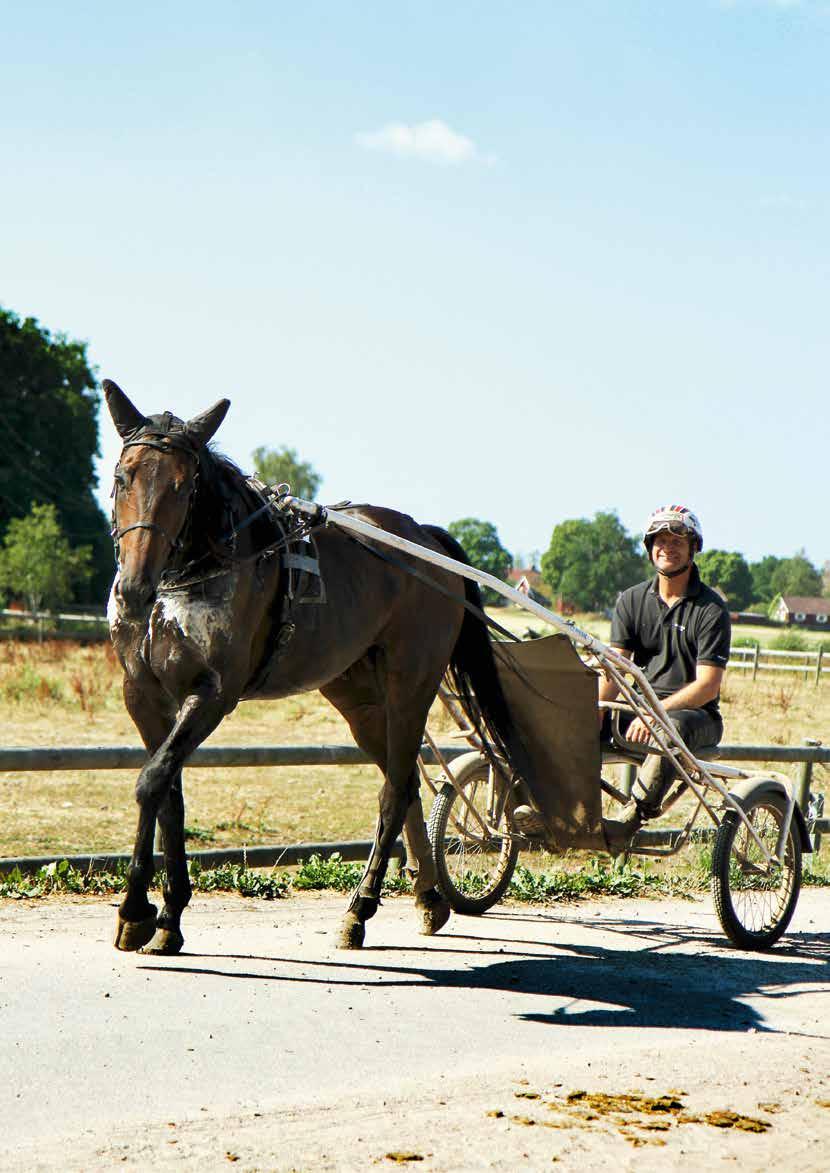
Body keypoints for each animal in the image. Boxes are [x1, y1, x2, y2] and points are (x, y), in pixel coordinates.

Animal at [103, 382, 518, 952]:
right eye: (123, 476)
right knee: (405, 781)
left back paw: (359, 909)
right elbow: (168, 794)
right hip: (358, 698)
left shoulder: (212, 694)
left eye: (184, 488)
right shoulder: (142, 695)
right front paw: (166, 914)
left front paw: (137, 911)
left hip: (410, 686)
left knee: (394, 790)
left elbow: (152, 782)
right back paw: (429, 898)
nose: (135, 590)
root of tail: (425, 541)